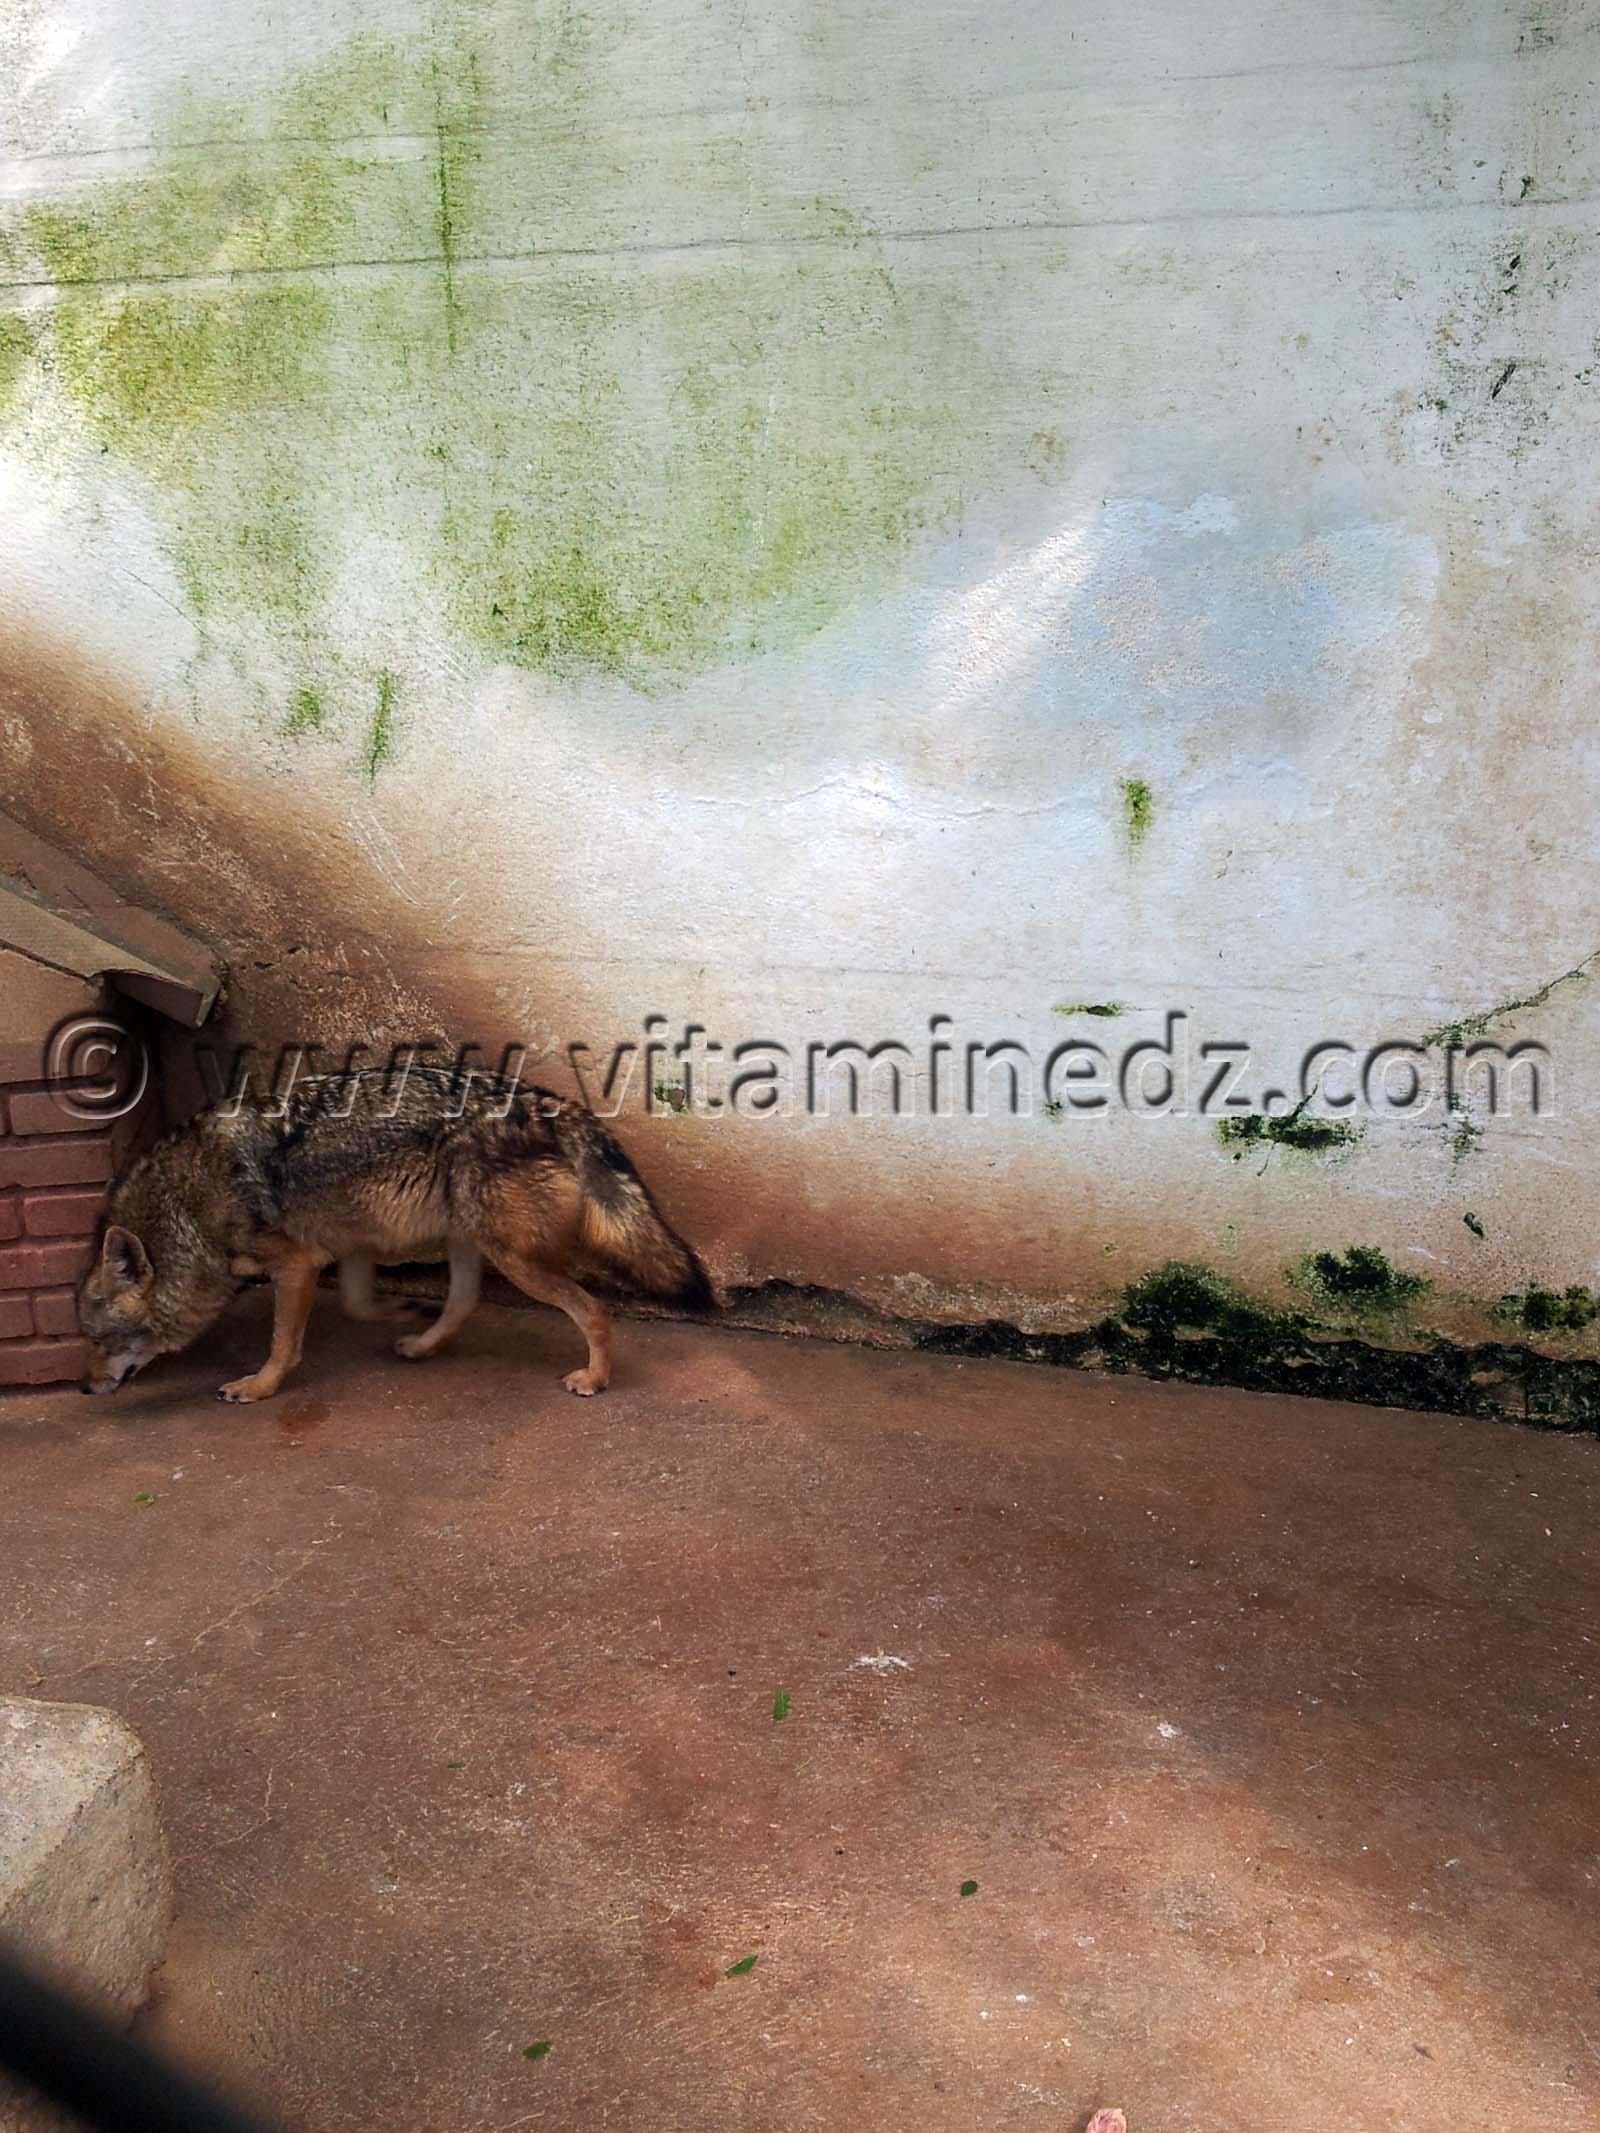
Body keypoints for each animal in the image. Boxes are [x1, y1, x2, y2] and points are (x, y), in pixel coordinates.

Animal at [77, 1066, 711, 1402]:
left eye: (101, 1340)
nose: (82, 1389)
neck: (184, 1209)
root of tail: (547, 1101)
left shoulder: (298, 1262)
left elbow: (283, 1343)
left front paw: (258, 1386)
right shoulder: (351, 1245)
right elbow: (358, 1305)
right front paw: (399, 1310)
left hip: (513, 1259)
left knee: (594, 1310)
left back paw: (594, 1379)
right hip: (467, 1241)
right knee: (463, 1303)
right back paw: (423, 1344)